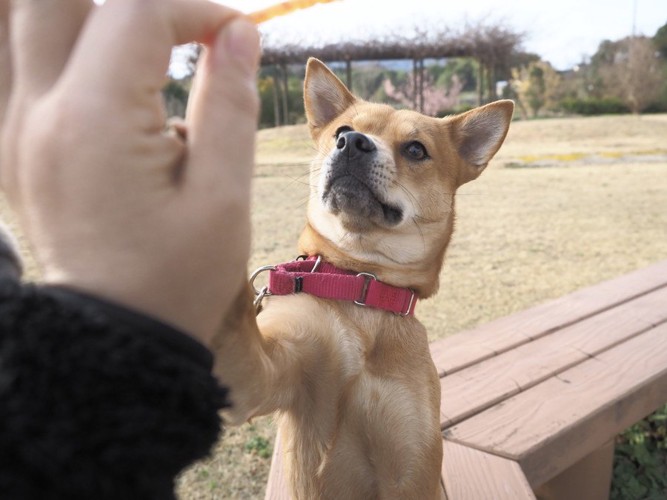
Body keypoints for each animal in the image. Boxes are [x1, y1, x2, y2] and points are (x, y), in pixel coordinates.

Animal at [211, 56, 516, 498]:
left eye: (416, 149)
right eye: (341, 130)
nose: (353, 142)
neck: (362, 288)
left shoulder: (412, 468)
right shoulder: (262, 374)